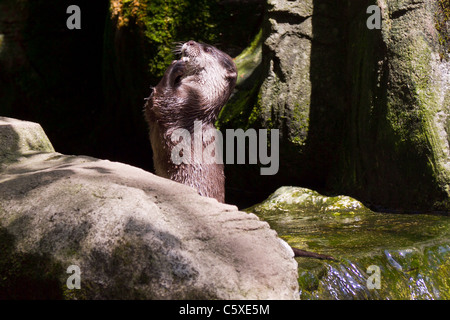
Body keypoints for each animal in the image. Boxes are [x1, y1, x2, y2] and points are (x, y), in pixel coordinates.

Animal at [144, 40, 237, 202]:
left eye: (207, 49)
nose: (191, 42)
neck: (202, 100)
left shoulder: (186, 103)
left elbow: (163, 99)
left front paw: (175, 66)